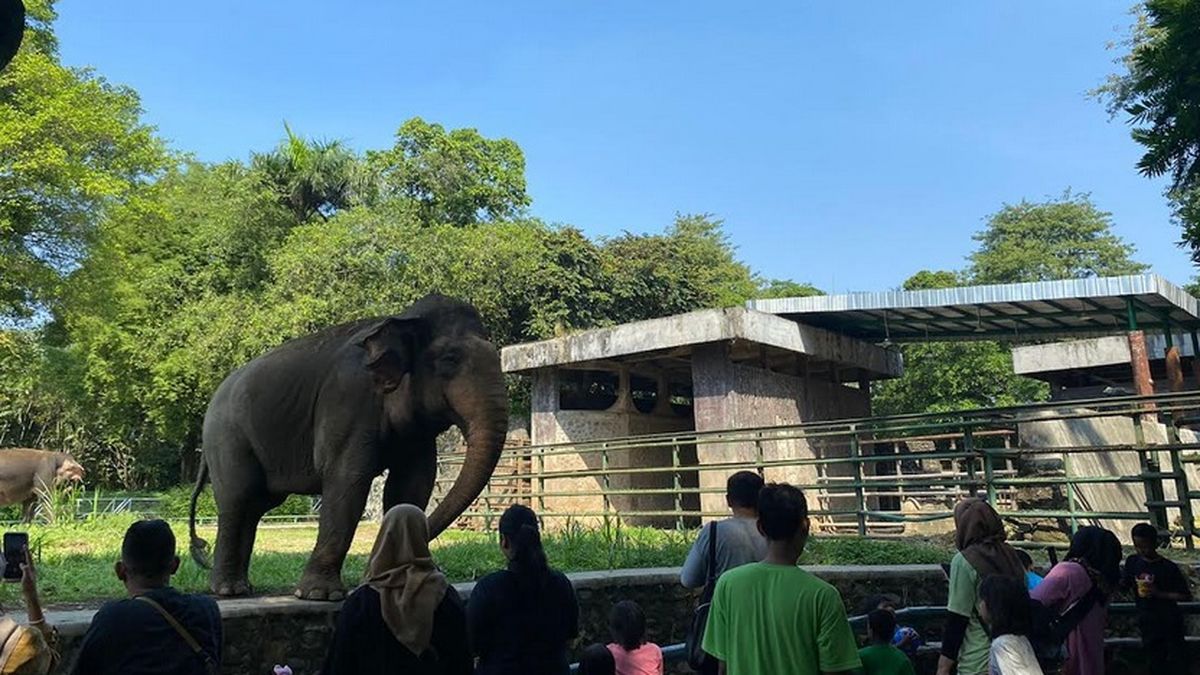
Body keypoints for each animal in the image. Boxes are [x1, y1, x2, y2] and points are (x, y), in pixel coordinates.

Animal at [189, 294, 508, 598]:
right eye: (450, 359)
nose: (370, 573)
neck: (401, 319)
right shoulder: (347, 400)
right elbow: (348, 480)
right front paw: (319, 594)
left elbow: (412, 486)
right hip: (227, 437)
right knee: (238, 499)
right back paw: (229, 590)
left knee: (255, 506)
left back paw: (243, 587)